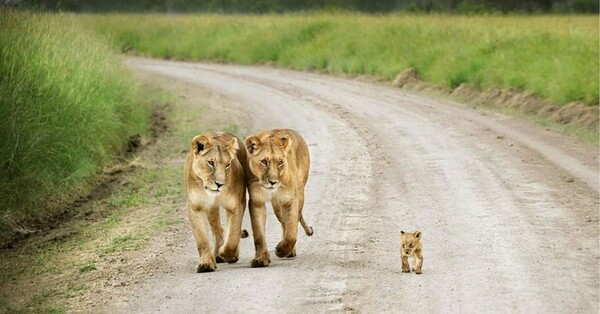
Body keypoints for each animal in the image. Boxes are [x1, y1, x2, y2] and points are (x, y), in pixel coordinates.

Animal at [184, 132, 247, 272]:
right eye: (211, 163)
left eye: (228, 165)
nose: (220, 184)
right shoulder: (195, 207)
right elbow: (202, 239)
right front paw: (206, 264)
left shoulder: (236, 204)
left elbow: (233, 237)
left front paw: (226, 254)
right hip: (211, 209)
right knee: (217, 229)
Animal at [244, 128, 314, 268]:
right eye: (264, 162)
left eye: (281, 162)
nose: (273, 182)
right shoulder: (257, 201)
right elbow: (259, 234)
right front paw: (261, 259)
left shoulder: (291, 200)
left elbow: (291, 232)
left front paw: (281, 250)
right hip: (277, 205)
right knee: (283, 223)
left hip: (299, 194)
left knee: (293, 222)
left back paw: (289, 251)